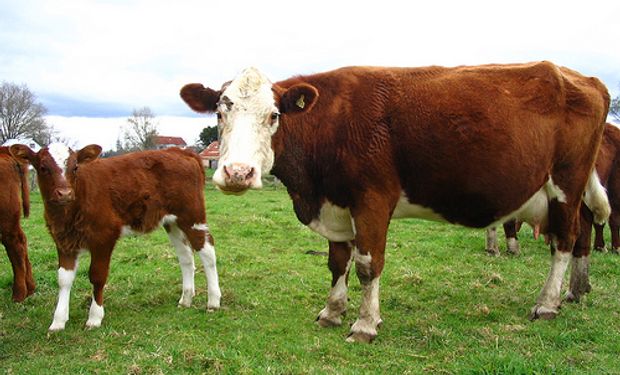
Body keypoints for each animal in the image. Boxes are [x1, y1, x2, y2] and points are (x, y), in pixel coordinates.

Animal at [10, 144, 223, 332]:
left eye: (75, 167)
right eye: (43, 167)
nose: (65, 193)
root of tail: (181, 152)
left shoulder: (104, 237)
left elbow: (97, 276)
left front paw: (94, 317)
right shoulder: (63, 242)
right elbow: (63, 279)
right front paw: (58, 321)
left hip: (192, 216)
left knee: (207, 251)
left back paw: (213, 301)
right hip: (172, 222)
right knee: (186, 257)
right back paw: (186, 299)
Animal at [180, 62, 612, 344]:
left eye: (273, 116)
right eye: (219, 112)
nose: (237, 172)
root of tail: (583, 78)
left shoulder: (371, 200)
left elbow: (368, 265)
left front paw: (364, 325)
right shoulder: (336, 206)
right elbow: (337, 262)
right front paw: (332, 312)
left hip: (565, 183)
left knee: (564, 241)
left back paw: (548, 303)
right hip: (573, 192)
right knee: (584, 232)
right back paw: (578, 290)